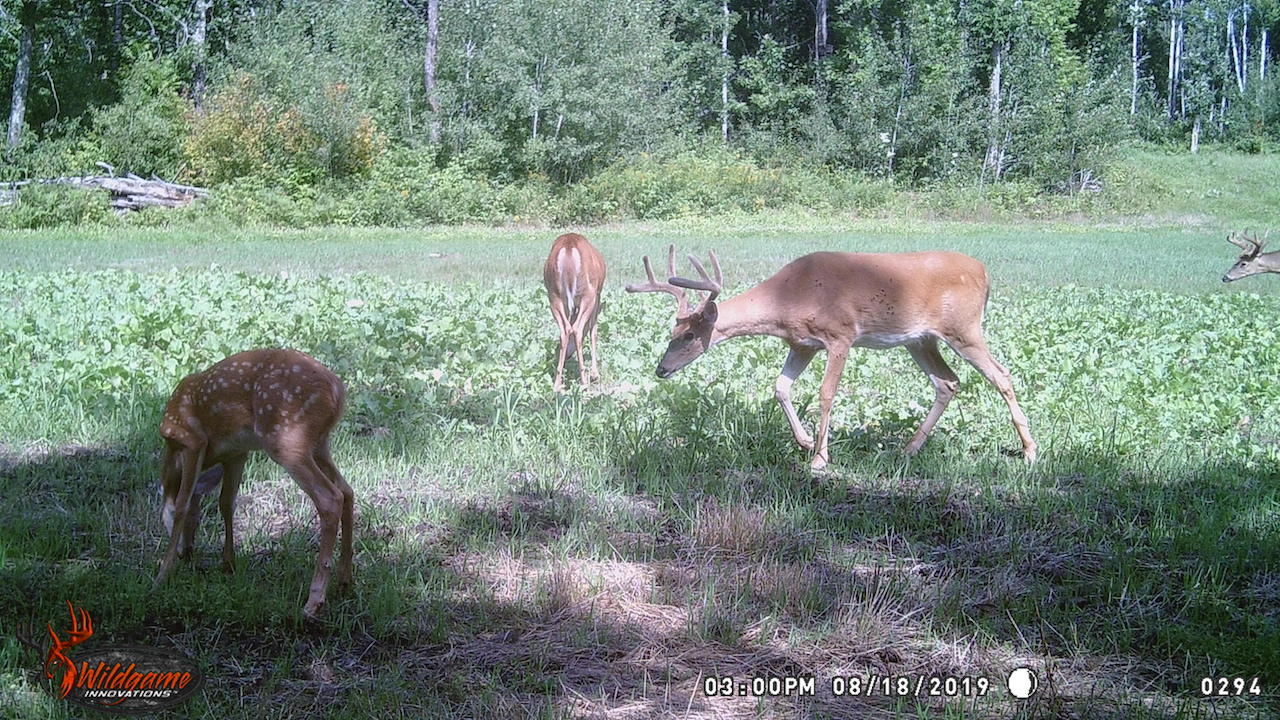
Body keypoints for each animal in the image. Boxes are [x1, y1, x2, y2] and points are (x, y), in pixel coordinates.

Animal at [155, 348, 354, 619]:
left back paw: (313, 602)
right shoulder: (236, 453)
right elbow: (226, 503)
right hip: (319, 444)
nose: (185, 553)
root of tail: (337, 390)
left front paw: (162, 574)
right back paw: (345, 582)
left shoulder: (191, 441)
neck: (171, 454)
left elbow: (182, 504)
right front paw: (228, 563)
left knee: (330, 497)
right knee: (347, 491)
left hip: (286, 437)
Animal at [544, 232, 607, 391]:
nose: (567, 355)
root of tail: (568, 248)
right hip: (588, 293)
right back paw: (584, 380)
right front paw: (595, 374)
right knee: (576, 328)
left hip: (554, 294)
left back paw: (557, 383)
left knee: (565, 329)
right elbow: (593, 330)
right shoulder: (597, 296)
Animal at [626, 246, 1037, 469]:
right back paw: (907, 449)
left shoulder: (840, 336)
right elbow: (780, 387)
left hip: (963, 328)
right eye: (670, 333)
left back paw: (1030, 451)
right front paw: (807, 442)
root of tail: (984, 273)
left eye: (690, 335)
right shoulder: (802, 344)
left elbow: (826, 394)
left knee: (1002, 374)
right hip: (920, 340)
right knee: (948, 382)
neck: (790, 298)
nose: (661, 369)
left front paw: (820, 458)